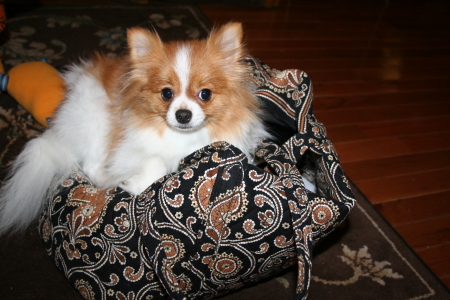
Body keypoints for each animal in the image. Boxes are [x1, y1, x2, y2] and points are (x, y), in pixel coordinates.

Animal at [0, 22, 270, 234]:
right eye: (166, 93)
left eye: (205, 94)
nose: (183, 115)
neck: (182, 138)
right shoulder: (129, 148)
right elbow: (156, 163)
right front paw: (131, 183)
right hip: (97, 121)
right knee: (91, 167)